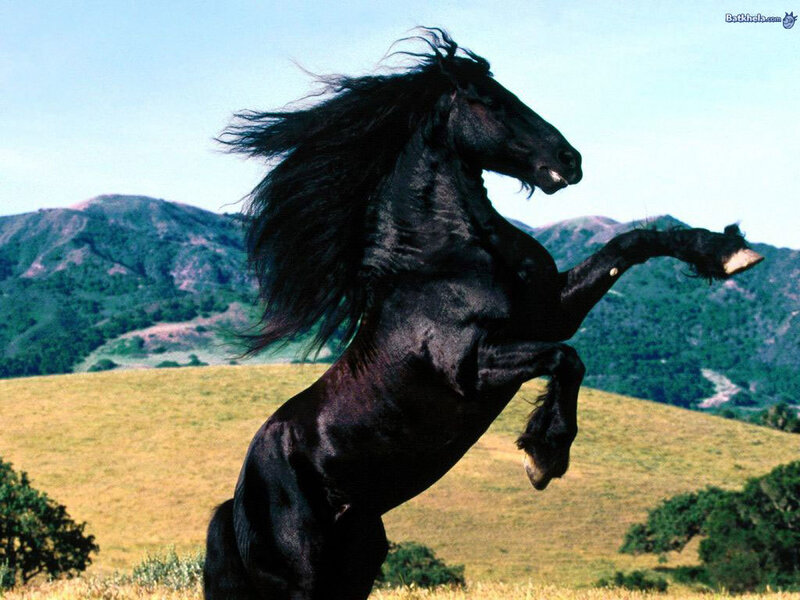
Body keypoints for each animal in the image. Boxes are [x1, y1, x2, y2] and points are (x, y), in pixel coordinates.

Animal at [203, 29, 763, 600]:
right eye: (492, 102)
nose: (571, 159)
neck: (443, 259)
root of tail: (237, 502)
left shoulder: (551, 313)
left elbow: (630, 246)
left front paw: (728, 253)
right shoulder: (472, 367)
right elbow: (566, 359)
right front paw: (543, 456)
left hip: (357, 561)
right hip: (304, 577)